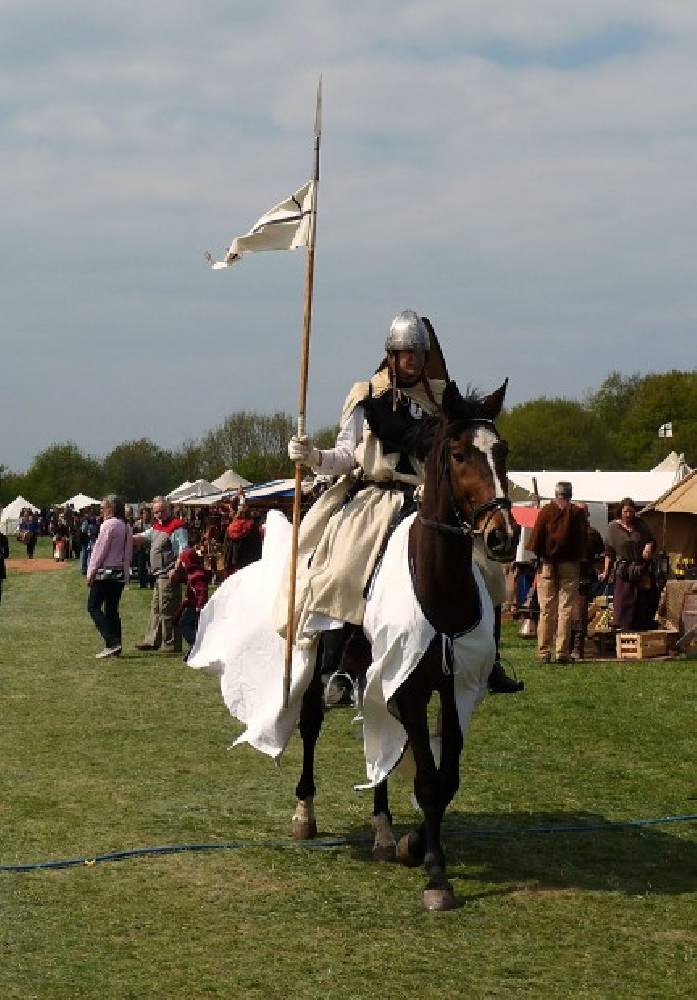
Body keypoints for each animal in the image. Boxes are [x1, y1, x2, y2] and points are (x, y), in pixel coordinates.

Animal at [289, 379, 519, 909]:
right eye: (458, 454)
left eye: (501, 451)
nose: (503, 536)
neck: (441, 587)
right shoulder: (410, 690)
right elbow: (429, 780)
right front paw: (435, 873)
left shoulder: (458, 690)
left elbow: (444, 778)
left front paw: (415, 844)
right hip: (321, 663)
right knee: (310, 724)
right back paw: (305, 813)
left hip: (376, 678)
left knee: (380, 746)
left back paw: (383, 832)